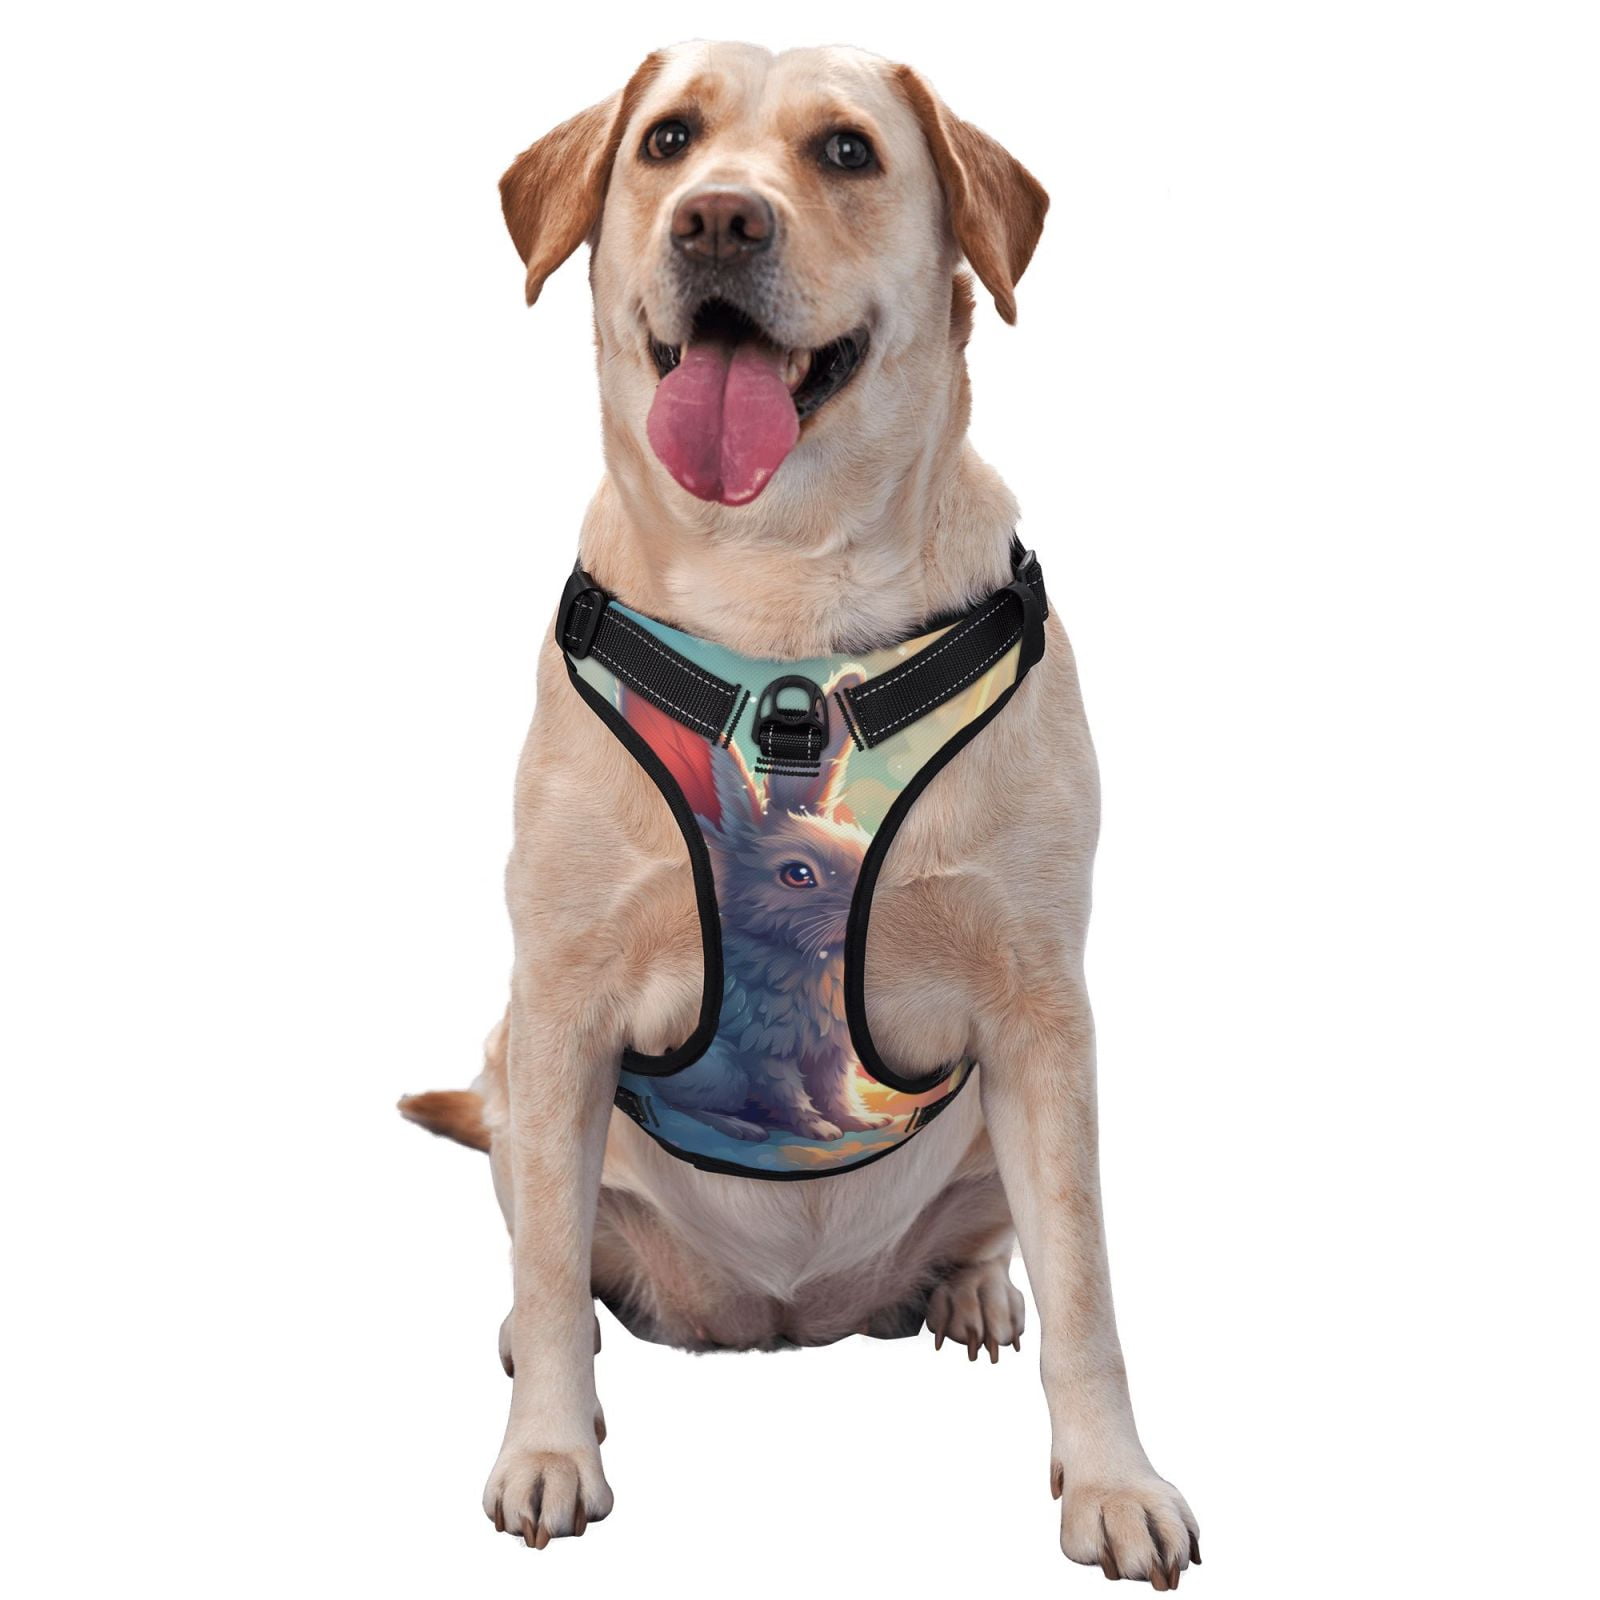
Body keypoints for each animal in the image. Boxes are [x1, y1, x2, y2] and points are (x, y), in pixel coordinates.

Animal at [618, 669, 892, 1143]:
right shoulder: (765, 1049)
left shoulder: (832, 1050)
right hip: (722, 1072)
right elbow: (787, 1090)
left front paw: (859, 1121)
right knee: (680, 1105)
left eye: (858, 844)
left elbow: (835, 1088)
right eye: (798, 875)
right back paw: (742, 1127)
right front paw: (820, 1130)